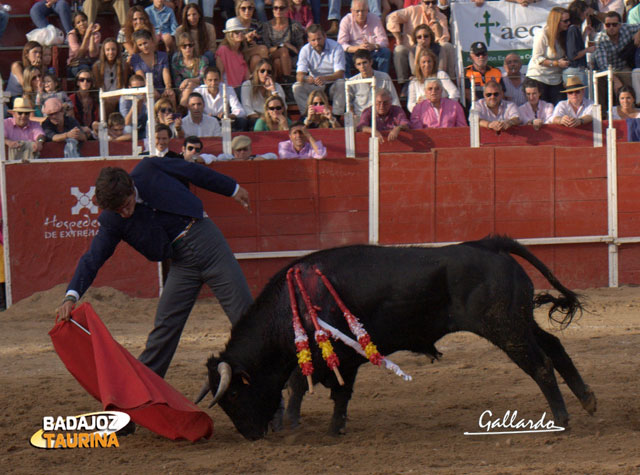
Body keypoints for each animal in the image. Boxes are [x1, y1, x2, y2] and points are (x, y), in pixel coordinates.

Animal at [196, 236, 596, 440]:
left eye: (233, 394)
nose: (250, 435)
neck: (287, 305)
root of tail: (489, 244)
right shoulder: (327, 354)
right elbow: (313, 387)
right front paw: (315, 425)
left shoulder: (337, 353)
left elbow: (322, 388)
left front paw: (318, 426)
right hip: (519, 321)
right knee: (555, 348)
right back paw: (588, 402)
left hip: (505, 327)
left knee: (540, 365)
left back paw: (562, 419)